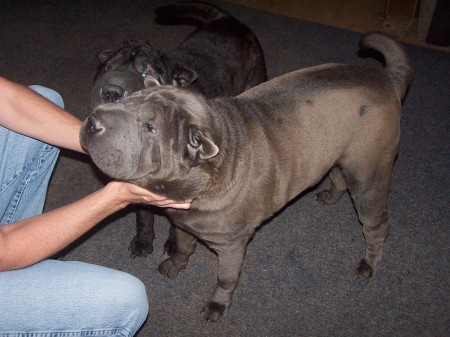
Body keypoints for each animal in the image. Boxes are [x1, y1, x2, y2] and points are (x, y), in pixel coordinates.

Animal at [80, 33, 412, 320]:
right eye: (123, 102)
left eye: (150, 127)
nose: (93, 123)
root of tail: (385, 78)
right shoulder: (184, 224)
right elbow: (184, 247)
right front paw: (174, 266)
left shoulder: (232, 246)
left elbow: (226, 278)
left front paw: (217, 304)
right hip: (338, 151)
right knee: (337, 174)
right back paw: (331, 196)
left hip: (369, 176)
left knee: (376, 226)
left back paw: (368, 263)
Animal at [90, 0, 268, 258]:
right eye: (107, 69)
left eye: (145, 73)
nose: (111, 92)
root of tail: (228, 20)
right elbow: (143, 215)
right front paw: (143, 240)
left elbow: (179, 224)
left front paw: (175, 244)